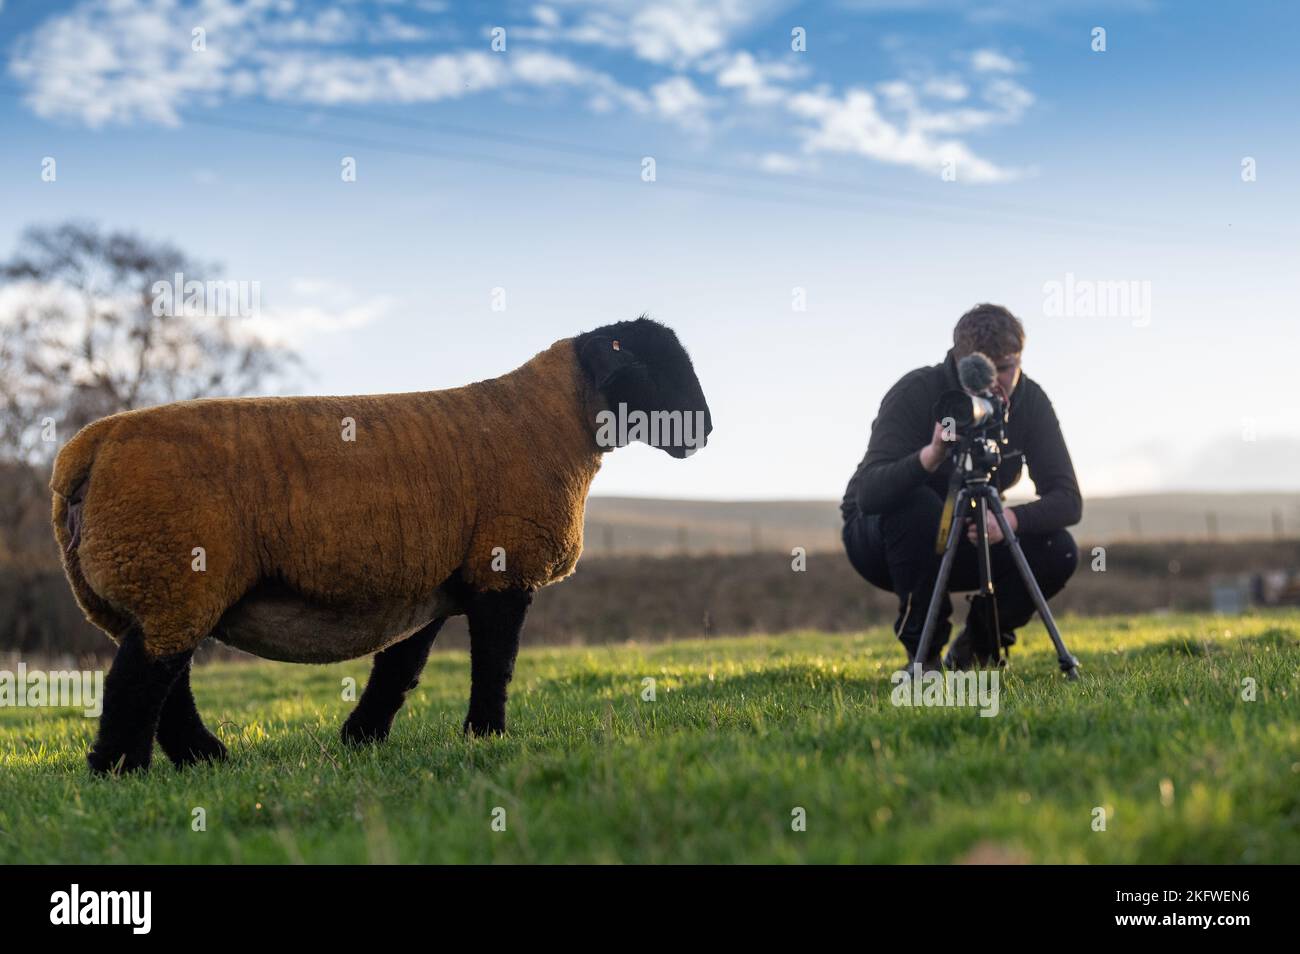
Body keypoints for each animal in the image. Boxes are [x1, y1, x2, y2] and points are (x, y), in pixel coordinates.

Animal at [50, 317, 712, 774]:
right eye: (656, 366)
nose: (704, 432)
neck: (553, 422)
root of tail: (89, 447)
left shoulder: (433, 579)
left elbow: (400, 667)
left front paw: (361, 738)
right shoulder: (501, 567)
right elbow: (495, 662)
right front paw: (487, 736)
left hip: (160, 584)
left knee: (167, 680)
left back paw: (202, 759)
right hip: (169, 570)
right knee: (140, 680)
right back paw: (122, 771)